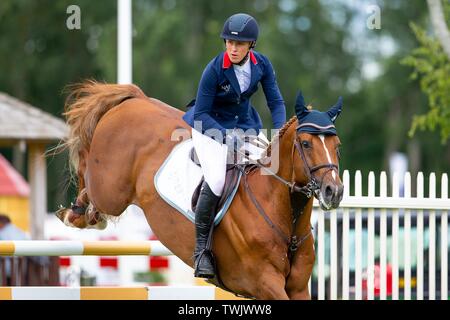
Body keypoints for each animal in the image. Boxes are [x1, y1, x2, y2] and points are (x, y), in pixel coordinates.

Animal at [56, 80, 344, 300]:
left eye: (337, 145)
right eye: (306, 144)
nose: (334, 191)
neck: (283, 215)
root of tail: (136, 100)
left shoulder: (298, 288)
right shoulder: (266, 283)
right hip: (110, 191)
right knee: (87, 174)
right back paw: (77, 213)